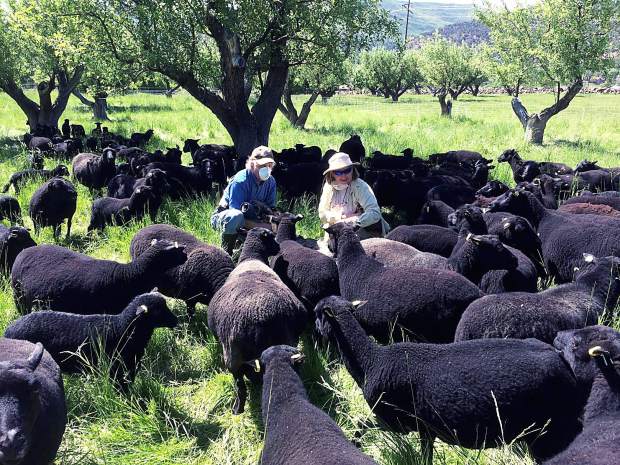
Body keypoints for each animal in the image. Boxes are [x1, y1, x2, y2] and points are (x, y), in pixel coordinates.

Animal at [318, 296, 584, 462]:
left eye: (317, 314)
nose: (316, 333)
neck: (371, 360)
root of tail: (560, 359)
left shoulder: (394, 420)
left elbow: (361, 426)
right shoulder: (426, 428)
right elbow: (425, 456)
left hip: (551, 430)